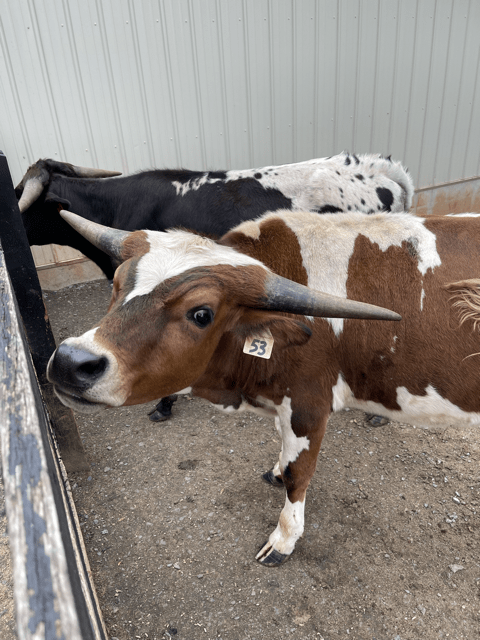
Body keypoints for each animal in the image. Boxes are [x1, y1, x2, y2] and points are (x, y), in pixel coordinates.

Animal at [47, 210, 480, 564]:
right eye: (117, 283)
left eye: (201, 313)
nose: (71, 361)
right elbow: (282, 457)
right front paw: (274, 470)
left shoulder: (308, 406)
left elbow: (297, 474)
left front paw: (284, 539)